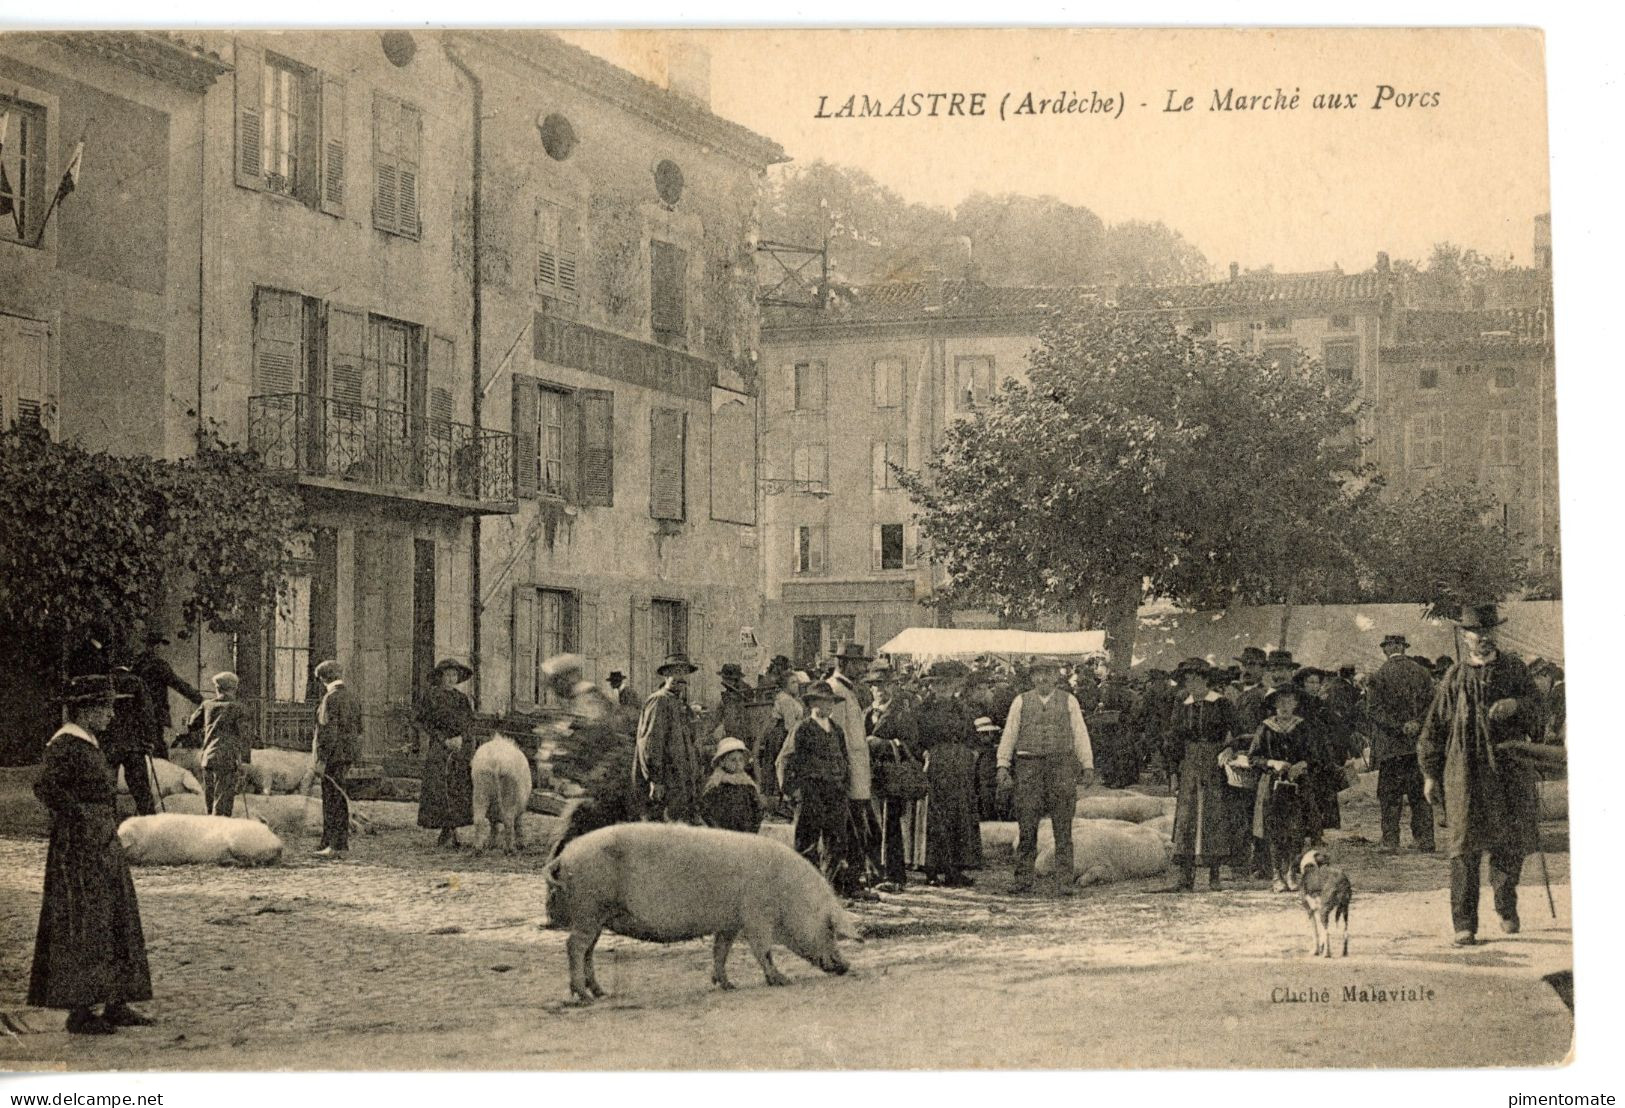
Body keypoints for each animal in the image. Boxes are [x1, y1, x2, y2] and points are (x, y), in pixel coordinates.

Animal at [542, 818, 864, 1000]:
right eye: (830, 929)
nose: (847, 966)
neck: (790, 896)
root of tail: (564, 856)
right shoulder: (756, 917)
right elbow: (763, 951)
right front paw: (782, 981)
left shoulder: (730, 922)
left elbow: (720, 951)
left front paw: (728, 985)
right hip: (589, 909)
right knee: (574, 946)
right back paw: (584, 996)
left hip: (594, 916)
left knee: (588, 950)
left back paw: (600, 992)